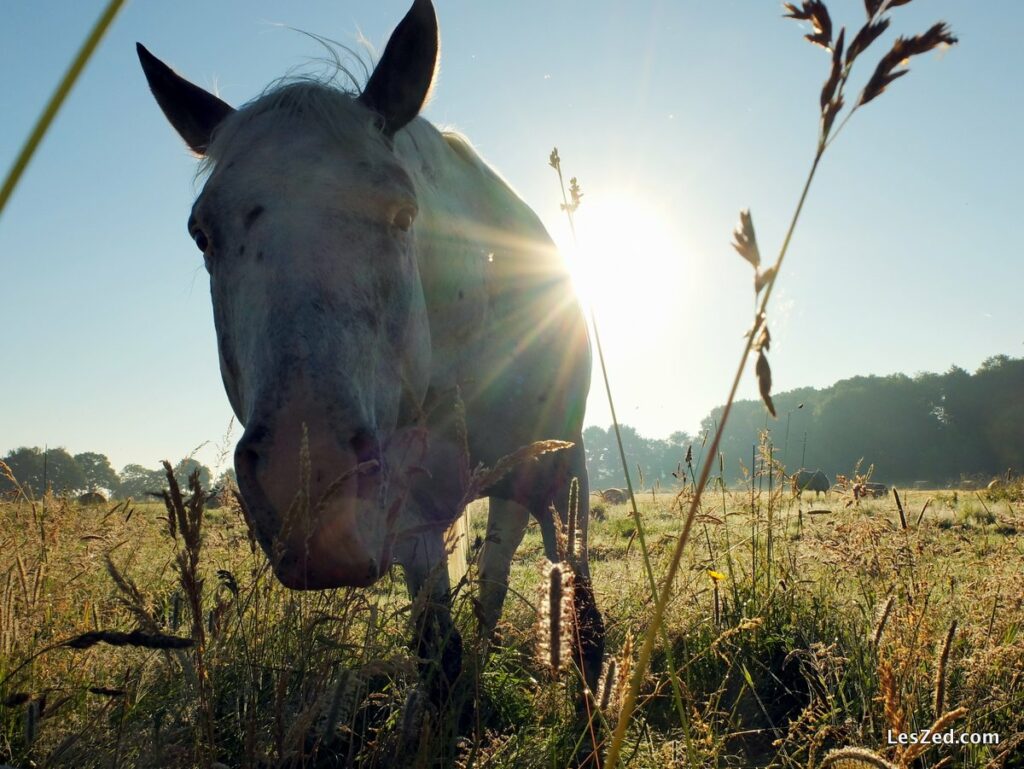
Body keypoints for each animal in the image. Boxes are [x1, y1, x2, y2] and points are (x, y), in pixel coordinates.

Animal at [135, 0, 598, 708]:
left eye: (405, 214)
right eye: (201, 233)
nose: (310, 487)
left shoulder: (564, 471)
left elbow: (584, 623)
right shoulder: (410, 519)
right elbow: (438, 656)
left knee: (498, 569)